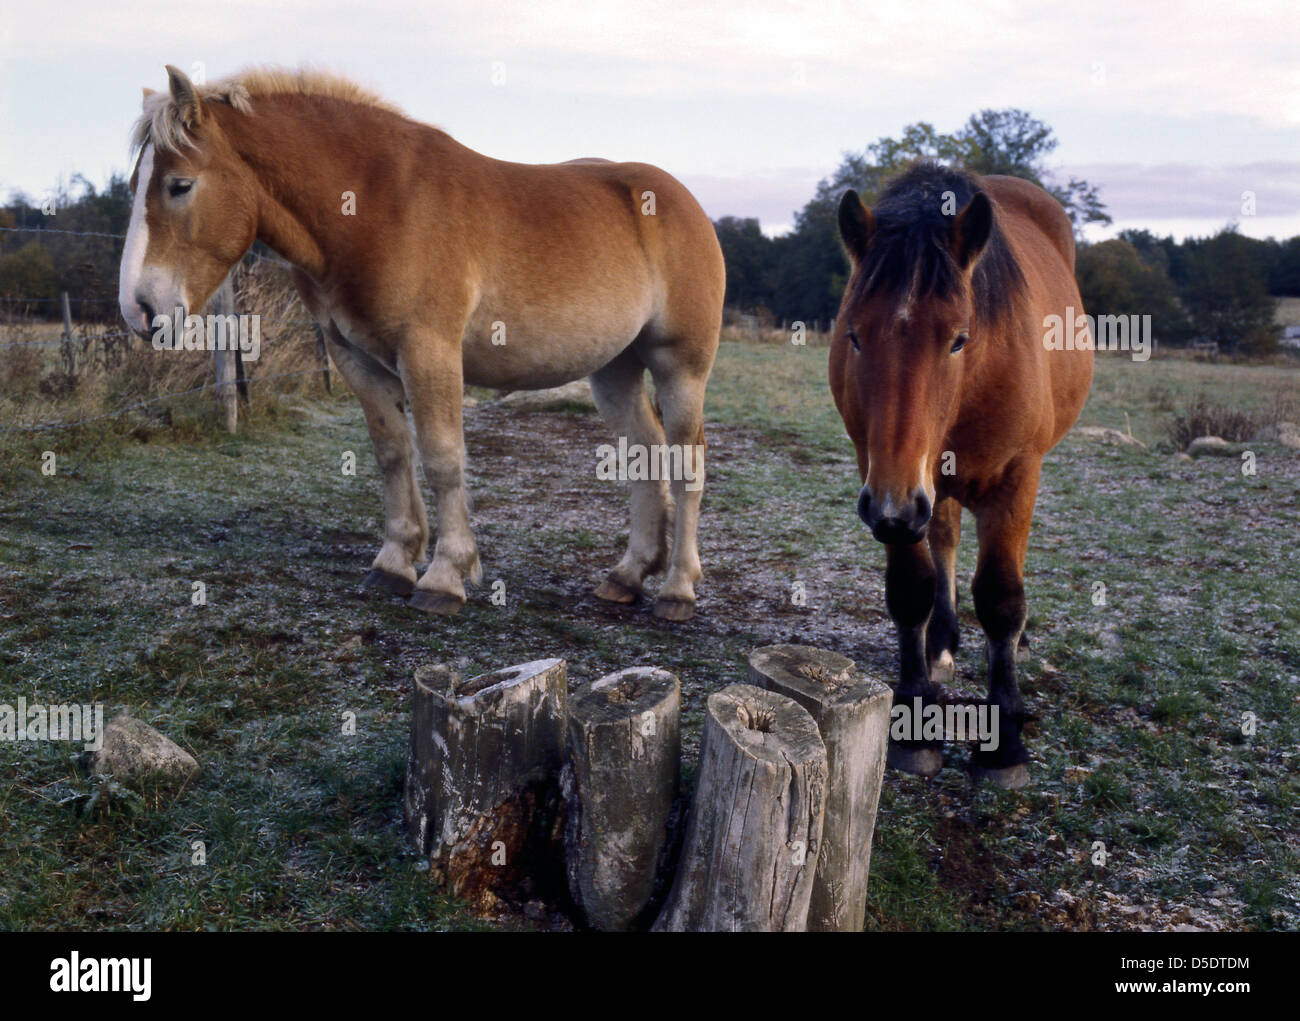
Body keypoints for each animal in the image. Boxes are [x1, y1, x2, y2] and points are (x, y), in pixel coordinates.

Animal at [119, 65, 724, 621]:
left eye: (179, 185)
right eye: (134, 188)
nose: (139, 308)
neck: (374, 206)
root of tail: (684, 204)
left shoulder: (429, 351)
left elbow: (441, 458)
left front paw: (445, 575)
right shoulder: (356, 359)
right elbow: (392, 452)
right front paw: (395, 562)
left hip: (680, 367)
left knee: (686, 461)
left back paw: (676, 588)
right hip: (615, 369)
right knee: (646, 452)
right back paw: (628, 574)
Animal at [829, 163, 1093, 789]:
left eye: (958, 338)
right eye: (855, 335)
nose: (895, 505)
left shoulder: (1015, 476)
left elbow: (1000, 596)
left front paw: (1006, 743)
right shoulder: (886, 480)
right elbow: (911, 588)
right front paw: (916, 722)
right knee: (944, 538)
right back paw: (942, 641)